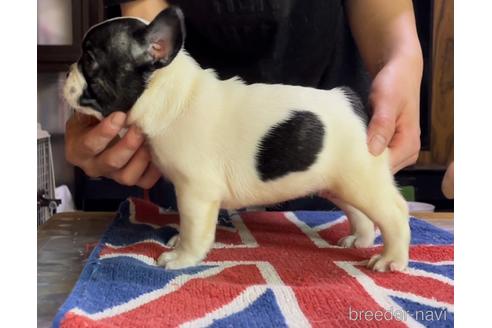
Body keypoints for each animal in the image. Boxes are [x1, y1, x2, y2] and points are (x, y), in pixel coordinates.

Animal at [65, 6, 412, 272]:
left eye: (90, 59)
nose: (68, 71)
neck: (172, 95)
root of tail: (349, 102)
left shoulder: (195, 192)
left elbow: (194, 227)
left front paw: (182, 257)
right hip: (337, 183)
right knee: (358, 212)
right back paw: (360, 240)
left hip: (361, 178)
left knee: (394, 212)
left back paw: (390, 259)